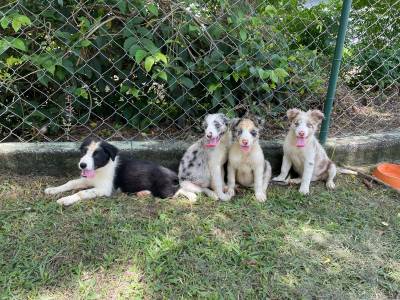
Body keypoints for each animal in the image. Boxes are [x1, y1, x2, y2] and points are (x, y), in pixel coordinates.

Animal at [44, 138, 180, 206]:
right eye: (84, 152)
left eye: (96, 155)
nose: (82, 165)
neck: (100, 169)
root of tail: (173, 175)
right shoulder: (88, 179)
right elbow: (70, 182)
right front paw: (52, 189)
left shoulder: (105, 189)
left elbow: (82, 193)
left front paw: (65, 200)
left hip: (164, 190)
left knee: (177, 192)